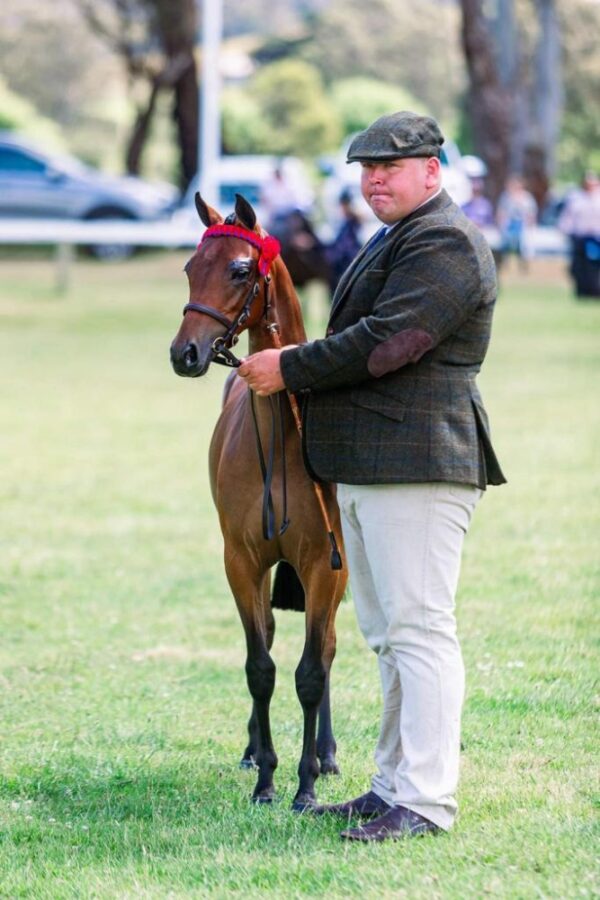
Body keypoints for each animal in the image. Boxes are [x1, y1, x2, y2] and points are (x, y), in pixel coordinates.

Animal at [169, 192, 346, 808]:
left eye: (240, 270)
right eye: (189, 268)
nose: (185, 353)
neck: (280, 429)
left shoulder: (324, 567)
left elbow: (312, 670)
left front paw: (306, 784)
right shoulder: (242, 562)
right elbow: (260, 666)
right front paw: (266, 778)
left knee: (330, 648)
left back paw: (327, 753)